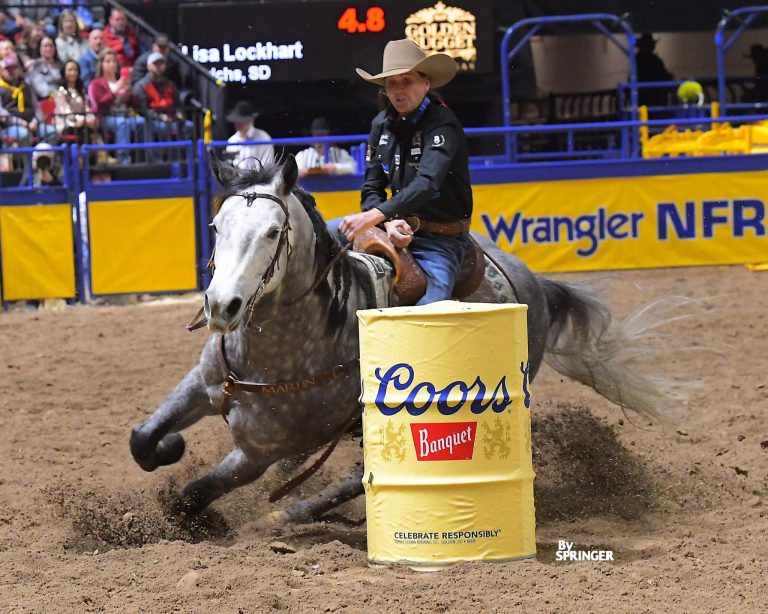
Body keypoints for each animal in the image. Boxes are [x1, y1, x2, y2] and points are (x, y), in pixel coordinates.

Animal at [129, 155, 679, 521]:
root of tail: (533, 283)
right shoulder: (200, 385)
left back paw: (295, 512)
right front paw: (170, 446)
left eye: (271, 232)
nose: (222, 306)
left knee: (361, 477)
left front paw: (196, 516)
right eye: (216, 224)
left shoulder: (258, 451)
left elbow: (195, 492)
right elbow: (142, 440)